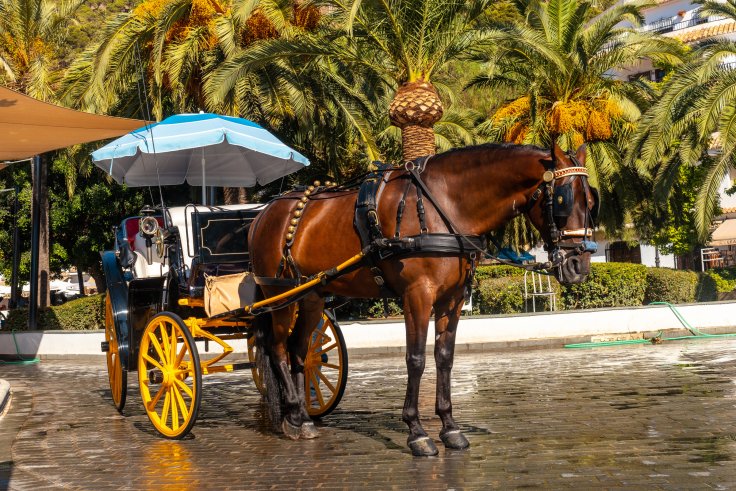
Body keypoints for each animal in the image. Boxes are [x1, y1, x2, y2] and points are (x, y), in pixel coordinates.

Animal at [247, 142, 598, 456]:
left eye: (591, 200)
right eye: (564, 199)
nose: (579, 266)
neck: (445, 204)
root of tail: (265, 214)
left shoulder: (451, 301)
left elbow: (444, 358)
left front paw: (450, 428)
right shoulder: (417, 296)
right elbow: (415, 360)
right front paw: (417, 432)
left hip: (311, 296)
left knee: (298, 349)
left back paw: (301, 417)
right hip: (280, 293)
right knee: (277, 348)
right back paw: (294, 413)